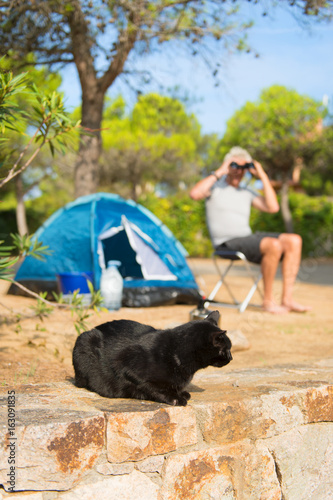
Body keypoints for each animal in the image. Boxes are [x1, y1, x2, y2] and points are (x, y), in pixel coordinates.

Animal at [72, 310, 231, 404]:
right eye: (226, 349)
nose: (231, 358)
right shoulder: (127, 369)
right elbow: (153, 387)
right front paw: (175, 398)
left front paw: (181, 393)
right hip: (85, 339)